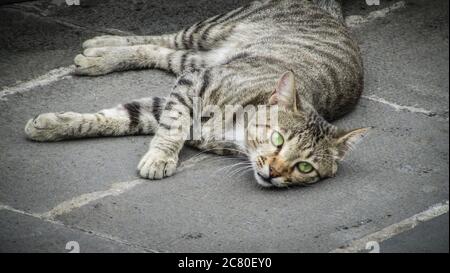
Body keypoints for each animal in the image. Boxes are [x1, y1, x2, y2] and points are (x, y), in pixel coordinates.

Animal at [23, 0, 370, 187]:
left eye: (304, 167)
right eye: (277, 140)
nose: (274, 173)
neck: (235, 130)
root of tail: (329, 9)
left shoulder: (172, 101)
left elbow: (119, 117)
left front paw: (54, 125)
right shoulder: (191, 87)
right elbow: (170, 130)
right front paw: (160, 157)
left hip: (198, 58)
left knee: (160, 51)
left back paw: (98, 54)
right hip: (208, 31)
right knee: (162, 38)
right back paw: (100, 46)